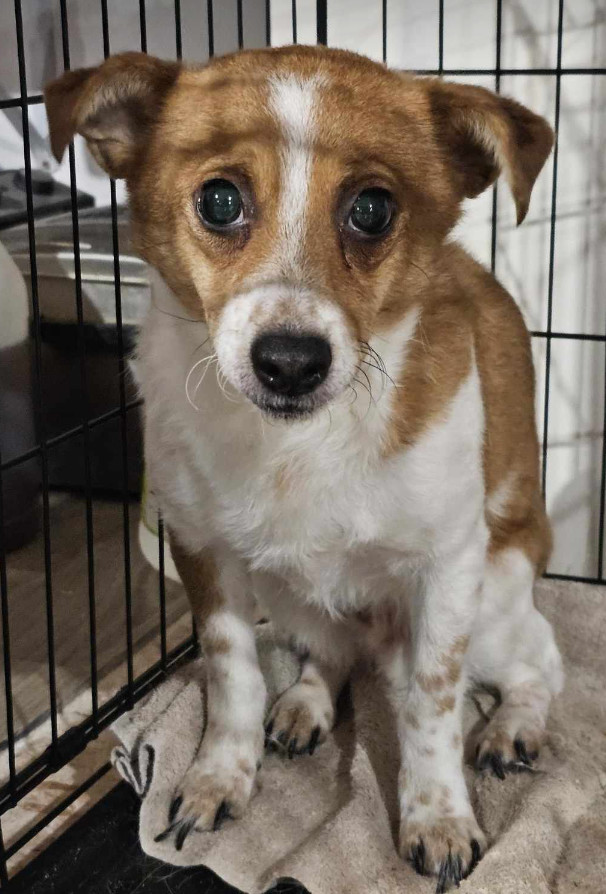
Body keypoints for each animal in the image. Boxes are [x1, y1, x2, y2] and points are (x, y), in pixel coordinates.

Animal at [46, 45, 564, 892]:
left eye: (373, 210)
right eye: (219, 199)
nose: (289, 363)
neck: (294, 445)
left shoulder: (449, 567)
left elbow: (432, 702)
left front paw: (438, 816)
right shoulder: (204, 551)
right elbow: (232, 675)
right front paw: (222, 775)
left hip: (495, 594)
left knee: (538, 665)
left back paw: (513, 729)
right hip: (287, 595)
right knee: (336, 654)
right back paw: (307, 706)